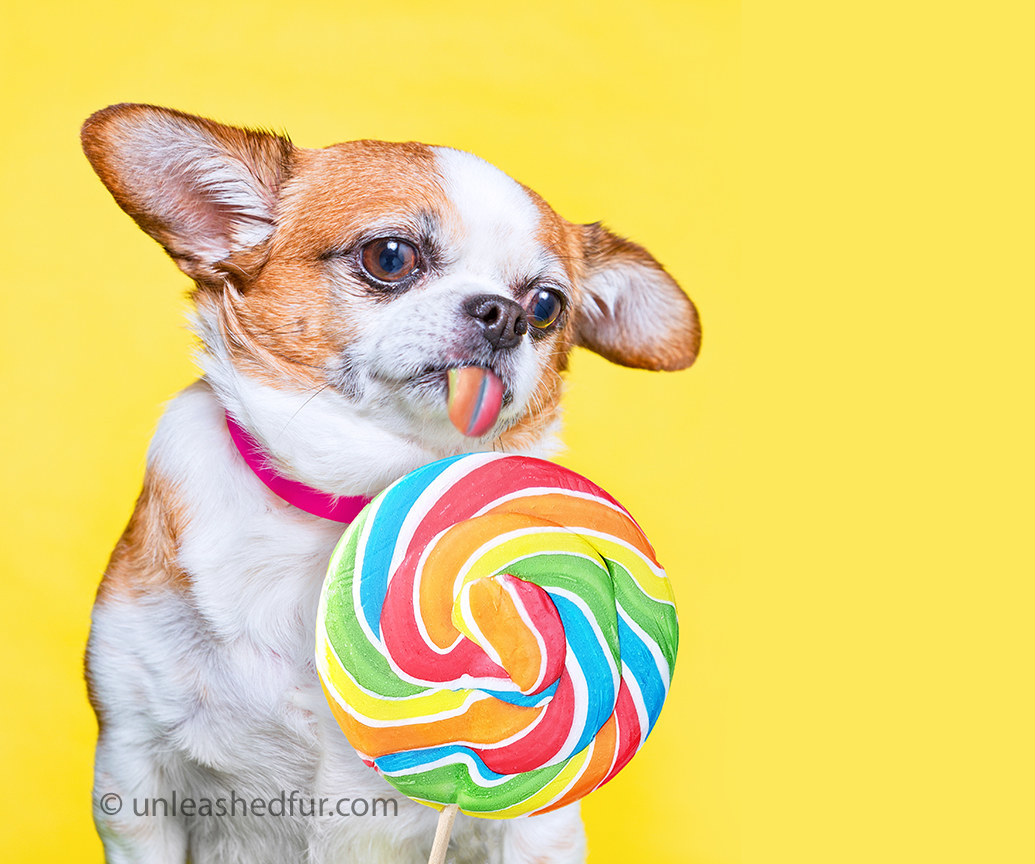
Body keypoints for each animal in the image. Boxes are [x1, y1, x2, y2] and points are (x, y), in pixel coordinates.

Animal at [82, 102, 703, 864]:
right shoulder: (133, 778)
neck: (349, 500)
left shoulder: (538, 817)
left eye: (548, 306)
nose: (506, 314)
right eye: (390, 257)